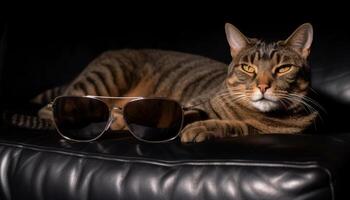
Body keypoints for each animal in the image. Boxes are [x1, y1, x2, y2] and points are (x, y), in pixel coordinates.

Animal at [8, 23, 320, 142]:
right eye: (248, 67)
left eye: (283, 68)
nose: (263, 86)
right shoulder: (191, 104)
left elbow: (238, 125)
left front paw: (202, 128)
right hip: (106, 75)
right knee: (51, 109)